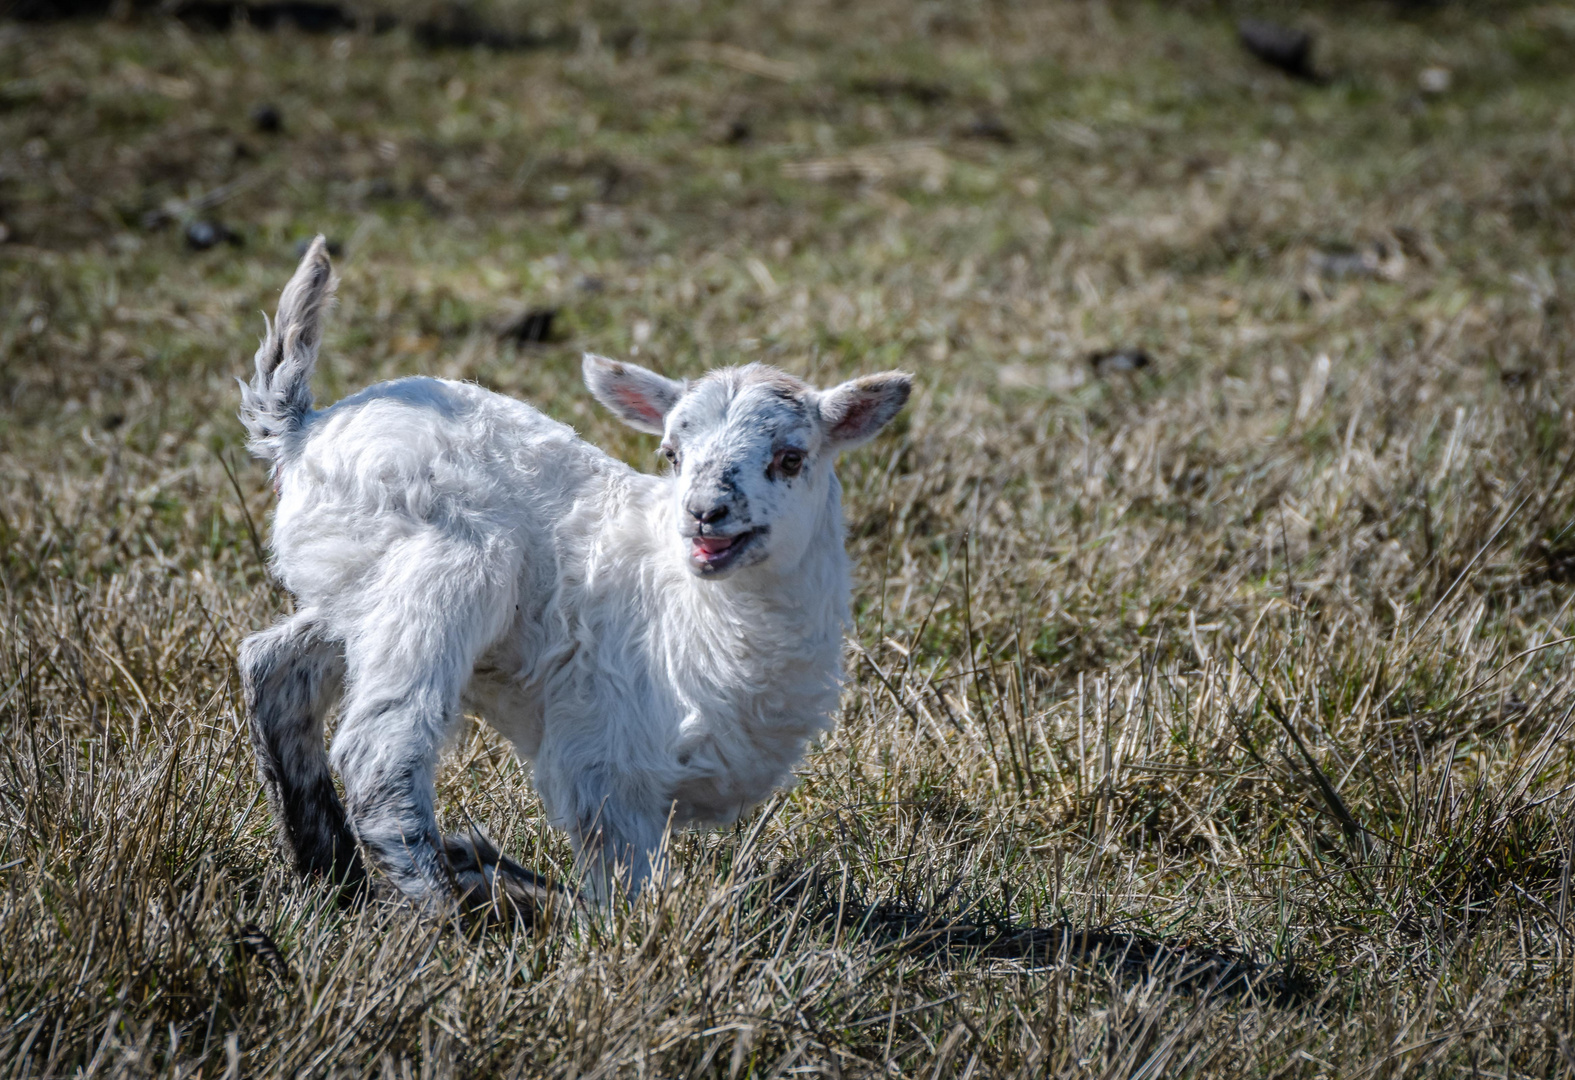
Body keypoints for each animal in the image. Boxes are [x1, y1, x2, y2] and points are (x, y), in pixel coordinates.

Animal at [233, 240, 913, 906]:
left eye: (791, 457)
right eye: (672, 455)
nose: (703, 514)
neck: (699, 614)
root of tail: (302, 431)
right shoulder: (605, 766)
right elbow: (625, 893)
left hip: (355, 585)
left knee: (274, 667)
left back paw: (334, 875)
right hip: (441, 577)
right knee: (380, 750)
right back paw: (452, 907)